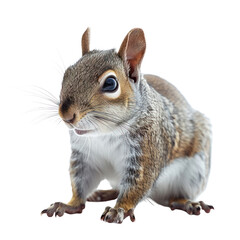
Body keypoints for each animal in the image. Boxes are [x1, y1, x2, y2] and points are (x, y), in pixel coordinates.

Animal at [41, 27, 214, 223]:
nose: (66, 115)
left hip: (194, 172)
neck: (105, 133)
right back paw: (102, 194)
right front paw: (69, 204)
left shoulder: (148, 151)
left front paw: (119, 209)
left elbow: (136, 186)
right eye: (67, 74)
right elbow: (80, 184)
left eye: (110, 83)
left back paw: (186, 202)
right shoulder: (85, 158)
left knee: (172, 198)